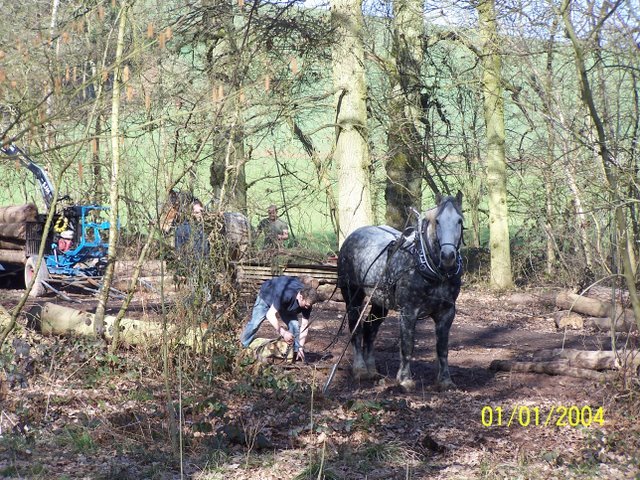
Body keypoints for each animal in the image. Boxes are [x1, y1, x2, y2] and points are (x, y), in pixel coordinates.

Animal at [338, 191, 462, 390]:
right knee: (355, 328)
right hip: (352, 295)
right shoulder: (408, 311)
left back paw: (372, 370)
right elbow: (407, 345)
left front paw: (445, 381)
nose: (448, 256)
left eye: (459, 220)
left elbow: (442, 348)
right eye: (438, 221)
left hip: (379, 301)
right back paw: (360, 369)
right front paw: (404, 379)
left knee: (370, 329)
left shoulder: (447, 312)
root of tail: (353, 235)